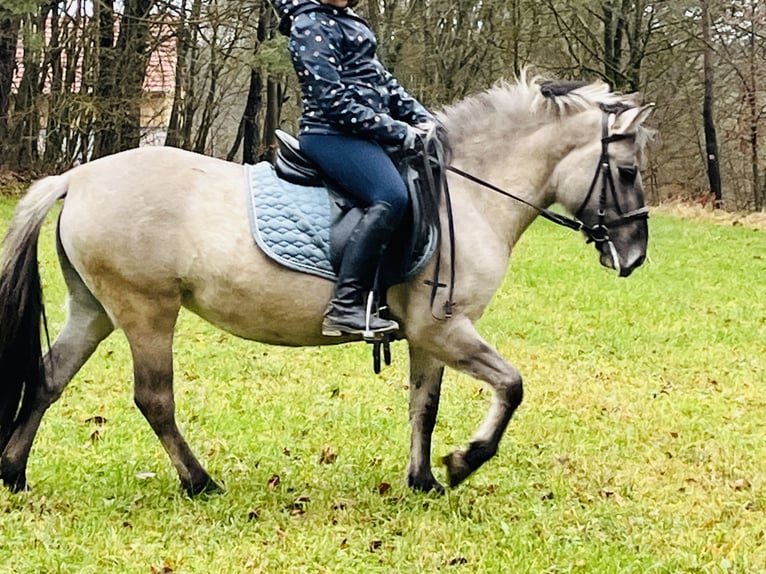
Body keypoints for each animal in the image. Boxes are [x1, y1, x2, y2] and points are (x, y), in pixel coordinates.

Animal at [0, 74, 656, 498]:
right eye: (626, 171)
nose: (634, 256)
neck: (466, 194)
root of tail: (77, 178)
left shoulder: (428, 336)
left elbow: (424, 404)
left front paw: (423, 482)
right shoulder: (446, 327)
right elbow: (512, 386)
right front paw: (464, 462)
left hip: (94, 309)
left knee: (48, 378)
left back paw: (13, 473)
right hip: (146, 311)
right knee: (153, 399)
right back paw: (201, 483)